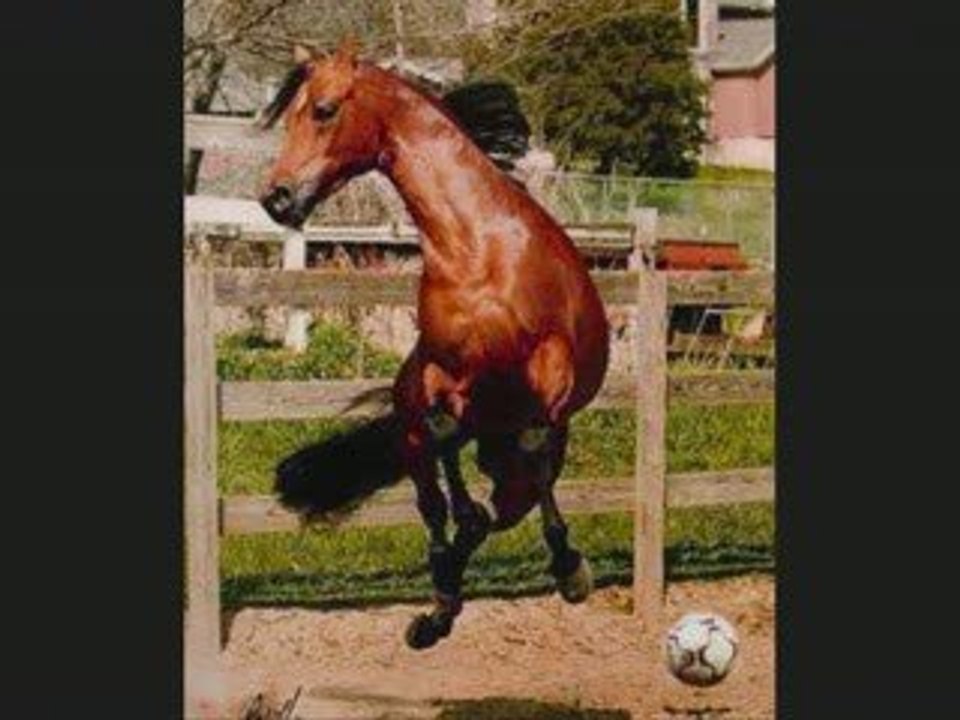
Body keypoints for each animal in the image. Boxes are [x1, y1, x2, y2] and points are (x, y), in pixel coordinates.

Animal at [260, 40, 610, 650]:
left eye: (324, 110)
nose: (276, 199)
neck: (478, 250)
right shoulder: (441, 373)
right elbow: (445, 428)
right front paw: (458, 542)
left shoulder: (551, 365)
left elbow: (536, 437)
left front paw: (570, 569)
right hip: (417, 445)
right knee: (440, 509)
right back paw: (437, 608)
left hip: (511, 465)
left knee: (518, 491)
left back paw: (556, 568)